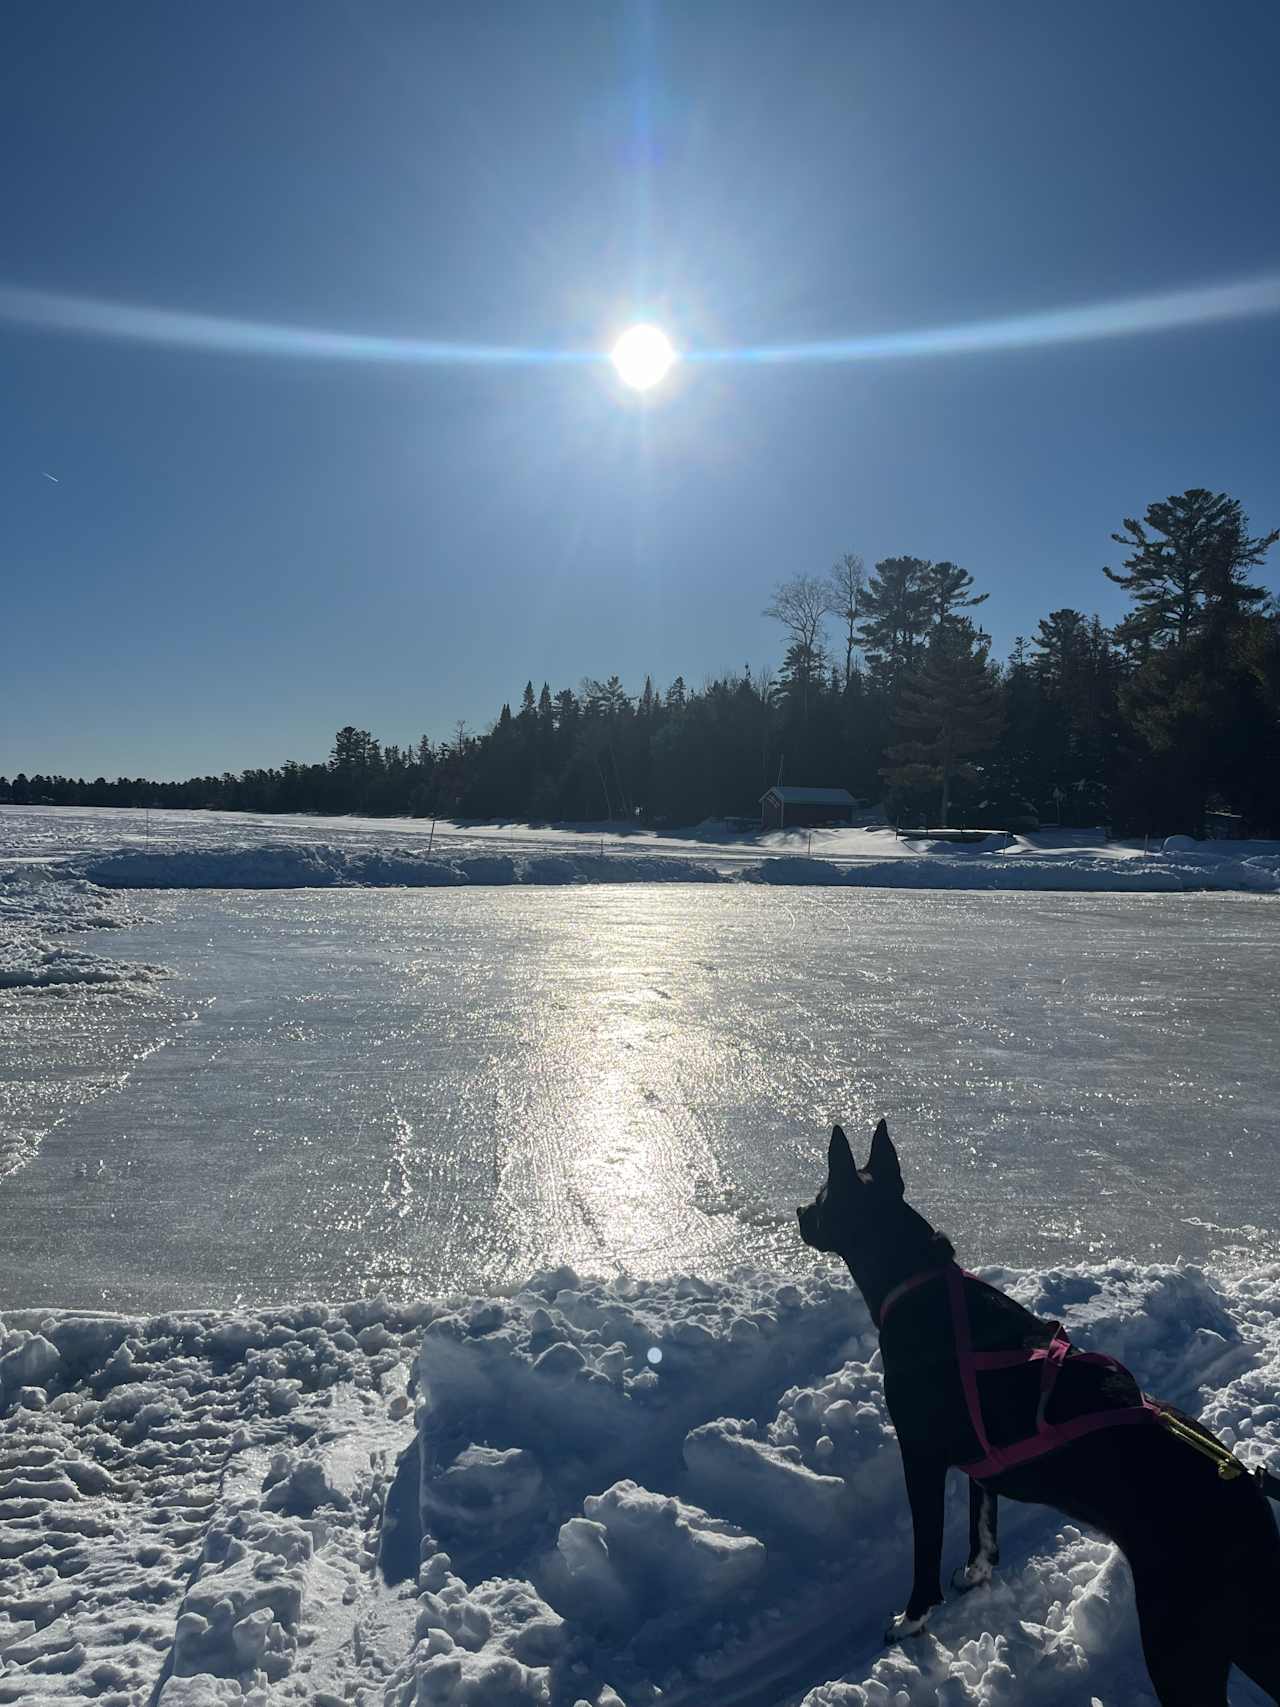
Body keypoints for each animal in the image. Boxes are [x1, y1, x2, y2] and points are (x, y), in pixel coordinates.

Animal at [798, 1119, 1280, 1707]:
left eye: (823, 1196)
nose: (798, 1213)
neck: (915, 1281)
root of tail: (1245, 1492)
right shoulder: (980, 1466)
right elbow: (982, 1527)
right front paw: (976, 1575)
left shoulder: (920, 1458)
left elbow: (925, 1553)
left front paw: (911, 1621)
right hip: (1246, 1625)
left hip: (1180, 1640)